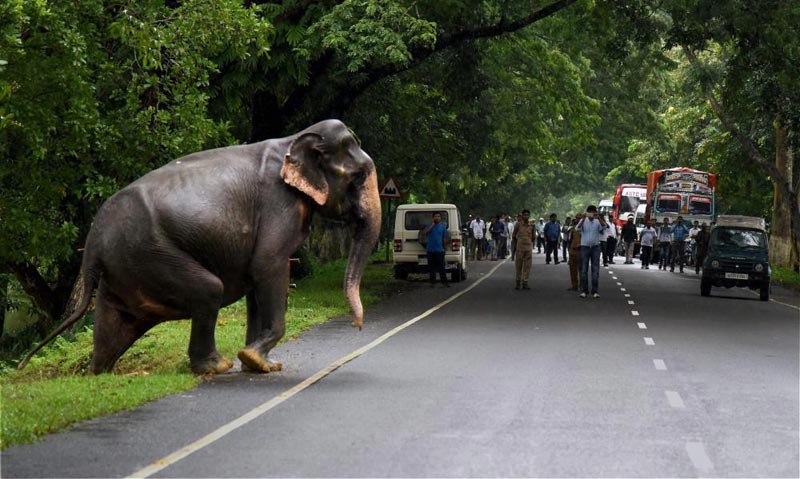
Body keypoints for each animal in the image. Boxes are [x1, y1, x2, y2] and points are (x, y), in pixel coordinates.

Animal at [18, 119, 382, 376]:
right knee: (209, 291)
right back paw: (215, 366)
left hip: (122, 270)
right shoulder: (279, 206)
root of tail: (92, 241)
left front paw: (257, 364)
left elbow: (256, 281)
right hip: (150, 253)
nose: (357, 325)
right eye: (357, 177)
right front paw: (255, 360)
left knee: (114, 324)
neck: (294, 138)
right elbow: (268, 266)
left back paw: (99, 372)